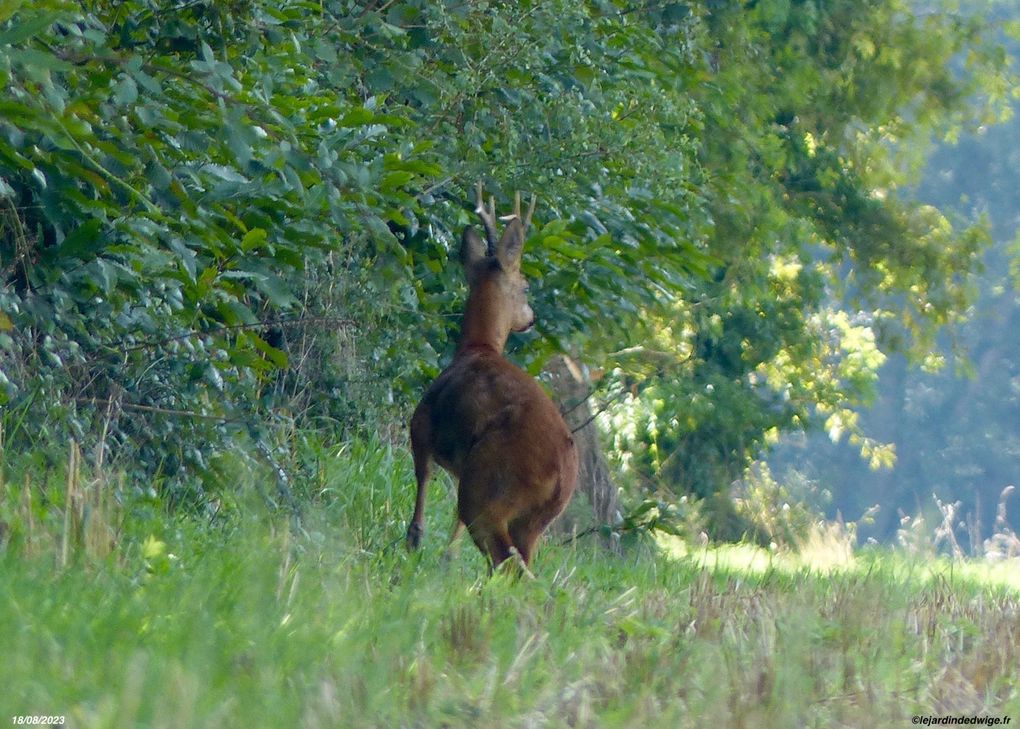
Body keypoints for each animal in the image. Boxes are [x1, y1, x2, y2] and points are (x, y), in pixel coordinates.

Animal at [405, 181, 583, 570]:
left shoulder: (421, 424)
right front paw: (445, 557)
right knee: (518, 562)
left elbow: (422, 484)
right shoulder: (460, 466)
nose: (530, 318)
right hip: (530, 516)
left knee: (506, 560)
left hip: (490, 482)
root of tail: (563, 475)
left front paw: (413, 543)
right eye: (527, 286)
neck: (478, 347)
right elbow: (453, 528)